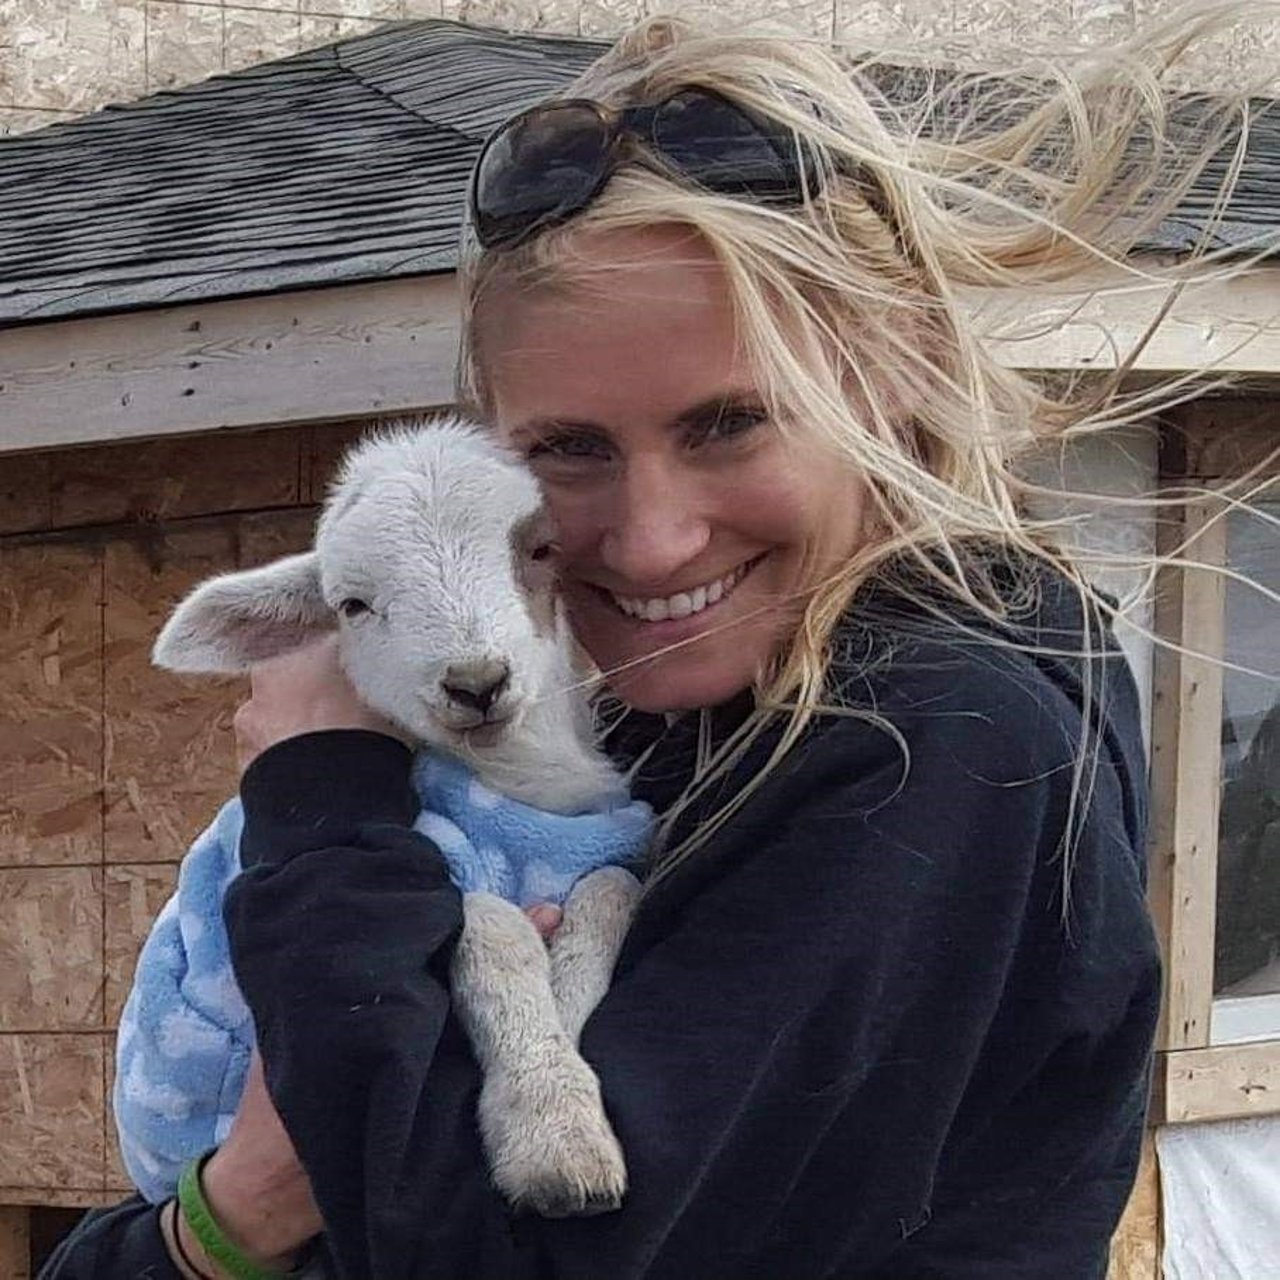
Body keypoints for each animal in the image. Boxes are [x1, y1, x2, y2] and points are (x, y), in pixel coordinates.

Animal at [116, 412, 655, 1218]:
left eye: (539, 551)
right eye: (352, 606)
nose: (476, 683)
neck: (518, 781)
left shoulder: (595, 844)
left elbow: (611, 893)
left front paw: (565, 1022)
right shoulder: (439, 860)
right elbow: (494, 931)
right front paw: (552, 1135)